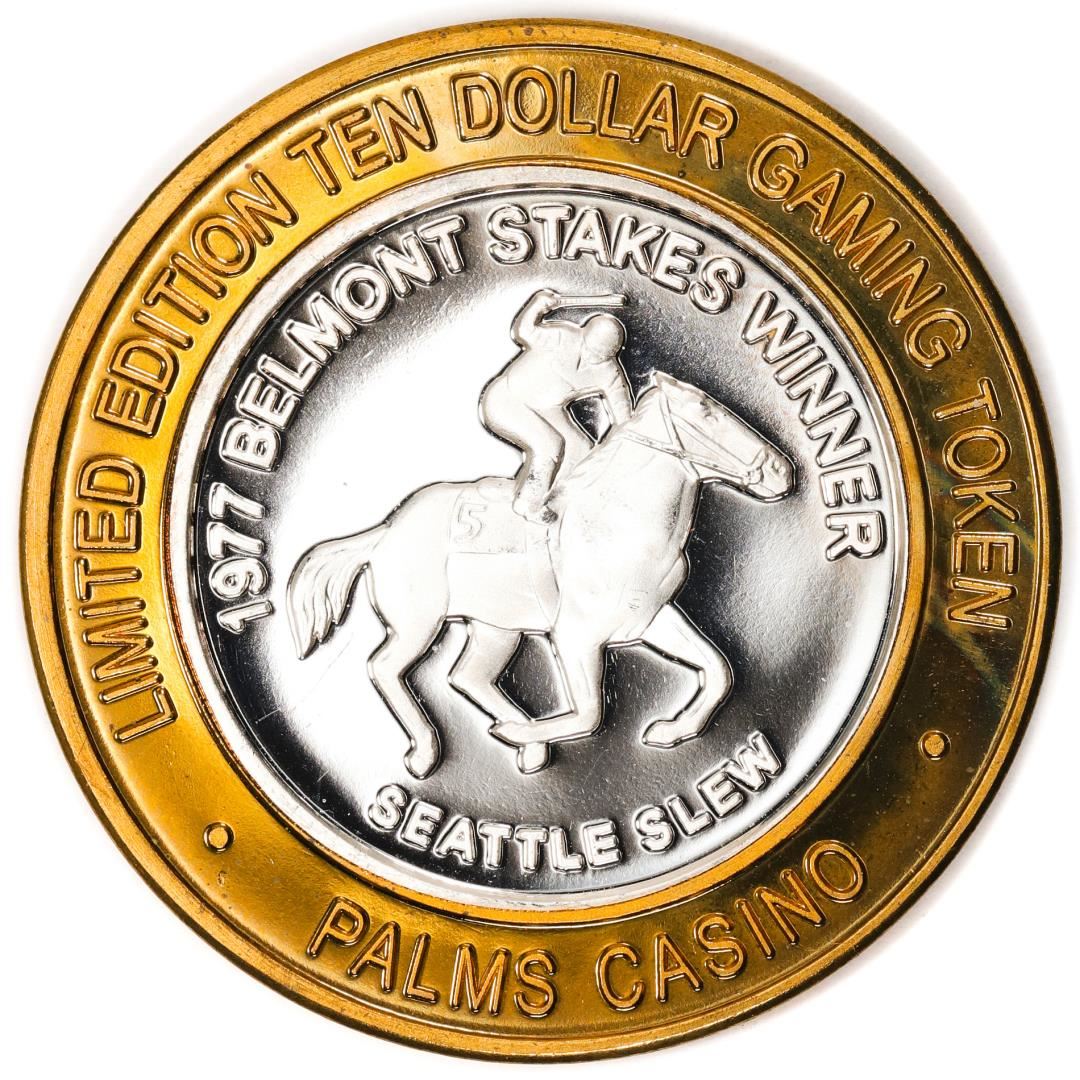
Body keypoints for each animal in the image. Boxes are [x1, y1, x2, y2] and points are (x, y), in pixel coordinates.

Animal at [286, 371, 794, 779]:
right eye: (707, 413)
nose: (781, 472)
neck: (618, 524)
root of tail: (385, 532)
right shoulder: (575, 637)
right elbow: (590, 713)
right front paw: (516, 733)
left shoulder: (650, 619)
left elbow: (716, 669)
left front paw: (670, 730)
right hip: (419, 623)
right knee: (386, 668)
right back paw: (432, 752)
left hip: (496, 628)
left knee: (468, 676)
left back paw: (526, 744)